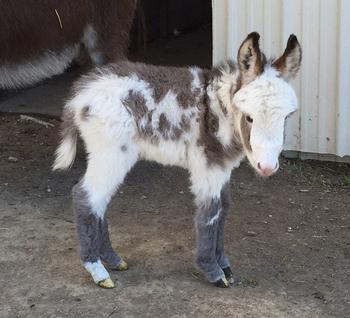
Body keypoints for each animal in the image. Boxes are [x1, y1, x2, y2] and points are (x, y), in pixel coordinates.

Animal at [54, 32, 300, 288]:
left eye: (287, 117)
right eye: (249, 117)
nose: (267, 167)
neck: (220, 109)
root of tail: (81, 92)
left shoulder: (223, 169)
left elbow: (224, 209)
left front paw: (224, 265)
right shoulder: (207, 168)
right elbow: (210, 214)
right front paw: (213, 271)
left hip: (112, 158)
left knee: (99, 202)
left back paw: (112, 260)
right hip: (111, 154)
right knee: (85, 197)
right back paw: (97, 270)